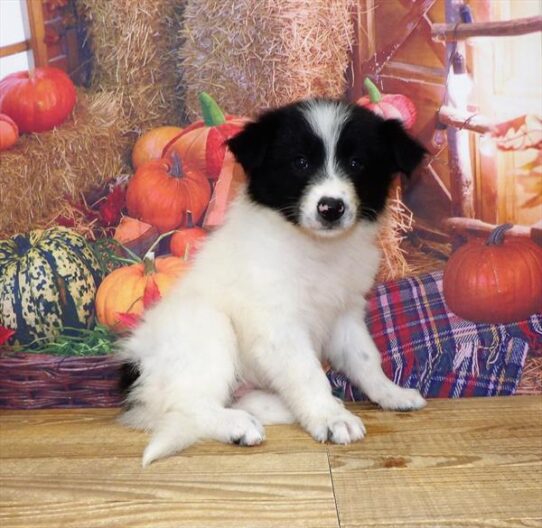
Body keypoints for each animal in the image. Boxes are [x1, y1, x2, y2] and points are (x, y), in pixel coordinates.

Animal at [122, 99, 430, 466]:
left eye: (357, 164)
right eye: (300, 163)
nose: (331, 208)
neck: (315, 248)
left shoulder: (345, 314)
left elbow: (366, 358)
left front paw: (390, 394)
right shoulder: (278, 326)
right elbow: (307, 372)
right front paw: (330, 419)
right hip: (205, 328)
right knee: (188, 406)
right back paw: (237, 426)